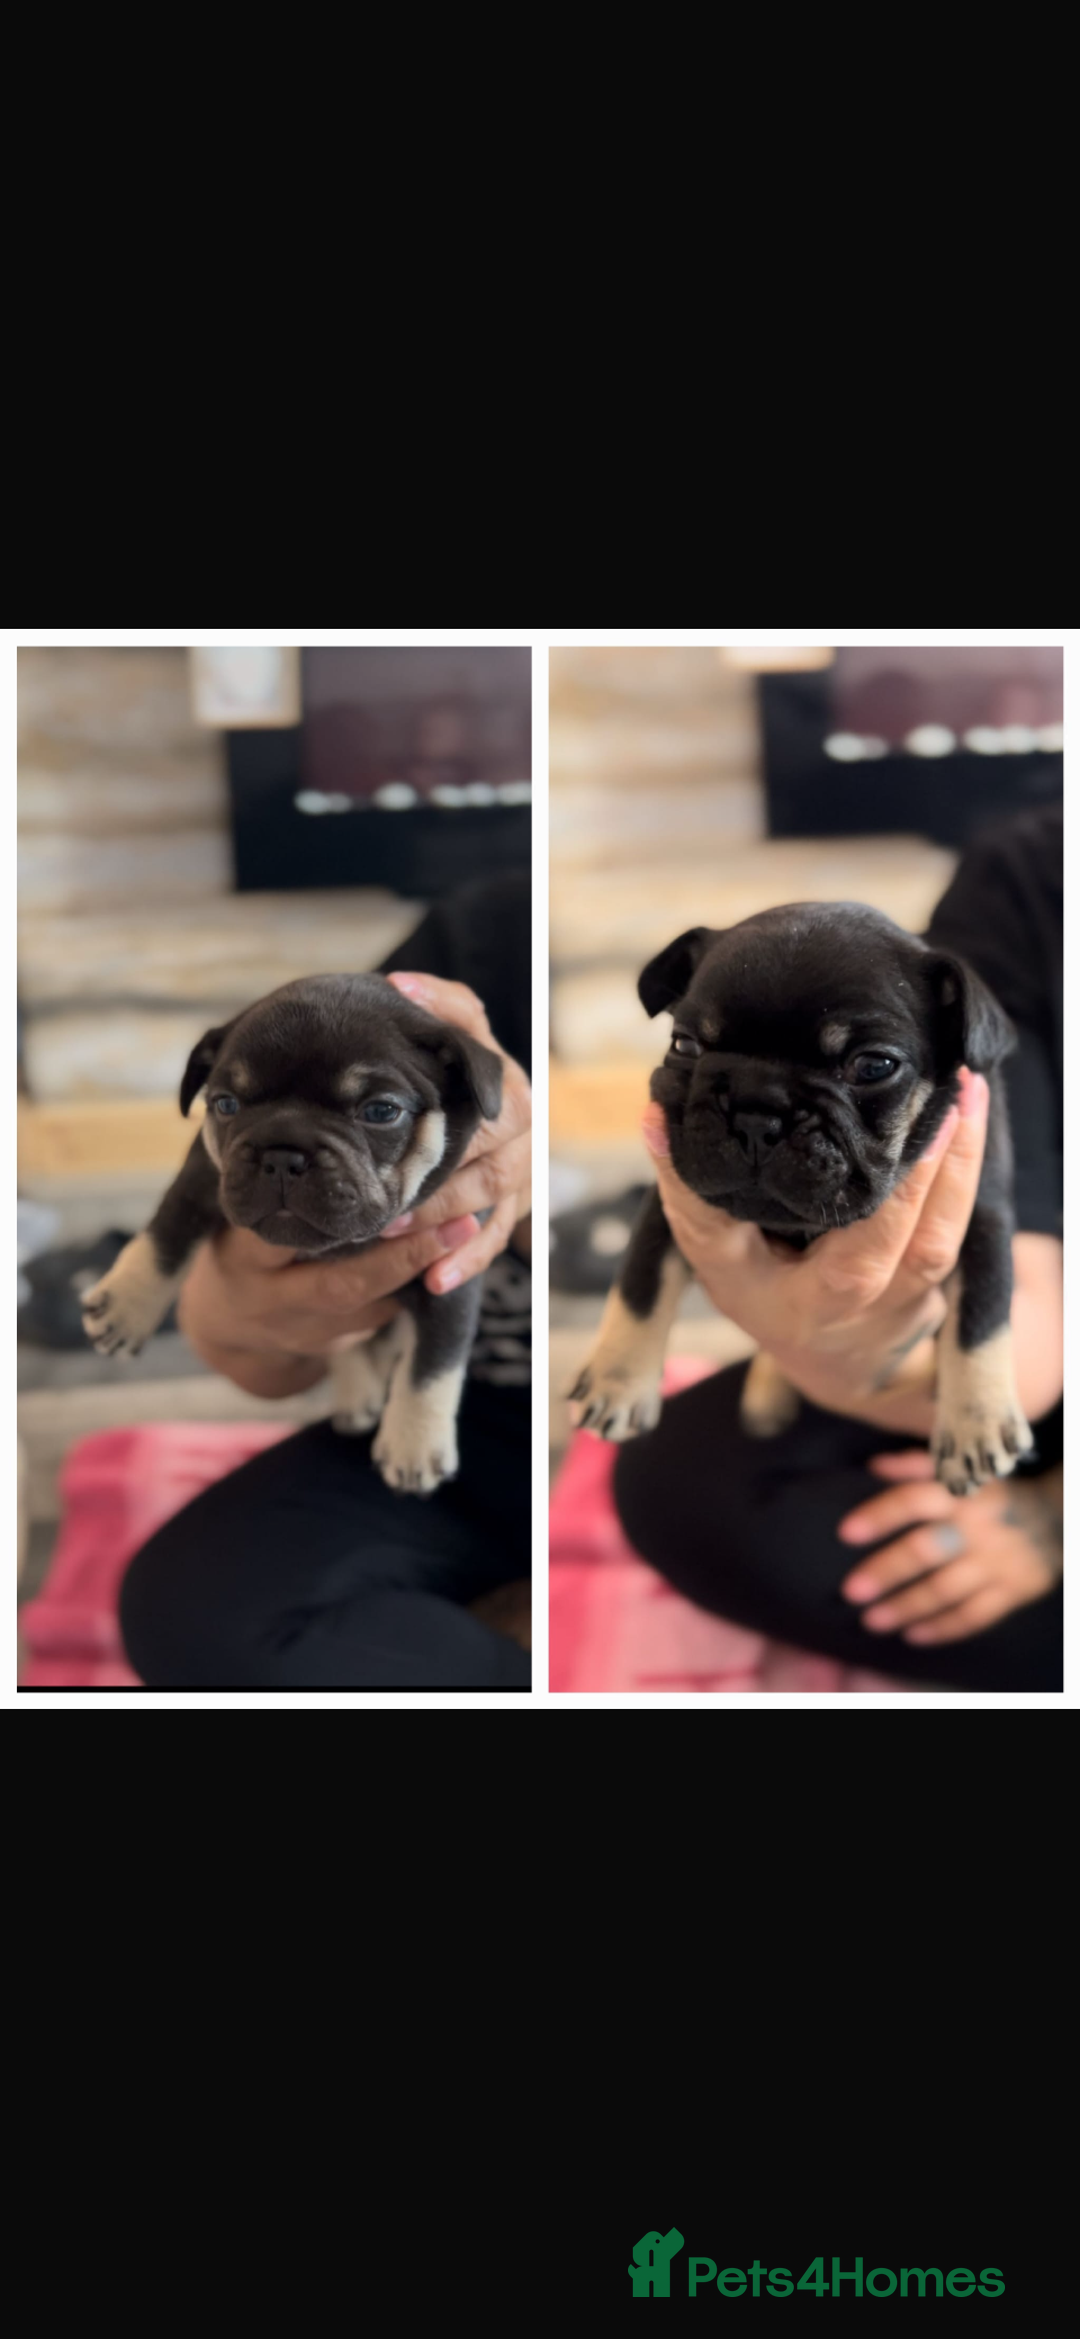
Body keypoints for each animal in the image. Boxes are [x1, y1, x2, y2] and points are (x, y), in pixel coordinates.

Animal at [81, 974, 503, 1495]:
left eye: (381, 1111)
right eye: (225, 1105)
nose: (282, 1153)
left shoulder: (451, 1272)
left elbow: (434, 1361)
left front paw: (414, 1444)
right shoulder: (203, 1175)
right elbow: (170, 1226)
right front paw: (125, 1307)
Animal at [569, 903, 1033, 1495]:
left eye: (873, 1066)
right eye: (685, 1045)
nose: (755, 1111)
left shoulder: (983, 1219)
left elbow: (983, 1315)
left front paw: (977, 1423)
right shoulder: (669, 1202)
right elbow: (639, 1285)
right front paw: (617, 1382)